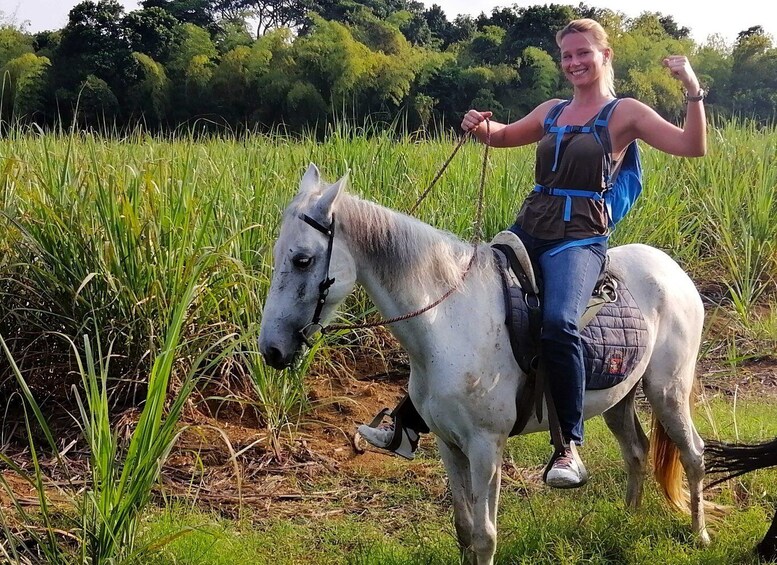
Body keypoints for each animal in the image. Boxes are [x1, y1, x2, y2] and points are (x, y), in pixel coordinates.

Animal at [260, 164, 708, 564]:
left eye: (302, 260)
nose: (271, 350)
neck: (446, 321)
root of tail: (671, 268)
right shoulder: (449, 443)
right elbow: (463, 529)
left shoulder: (485, 446)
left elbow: (484, 536)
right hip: (620, 398)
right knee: (636, 452)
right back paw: (629, 518)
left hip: (667, 391)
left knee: (693, 454)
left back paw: (699, 534)